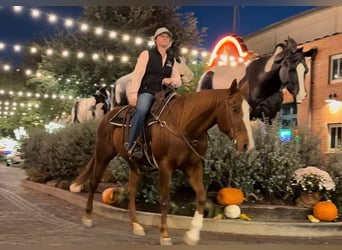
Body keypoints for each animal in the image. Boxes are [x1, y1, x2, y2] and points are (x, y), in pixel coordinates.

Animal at [69, 79, 254, 244]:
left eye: (249, 110)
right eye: (234, 108)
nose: (246, 144)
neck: (184, 124)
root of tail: (108, 114)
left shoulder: (193, 167)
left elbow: (201, 196)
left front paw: (192, 235)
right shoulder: (165, 166)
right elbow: (165, 200)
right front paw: (165, 235)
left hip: (133, 164)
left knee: (131, 190)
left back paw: (136, 225)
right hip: (103, 154)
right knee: (94, 181)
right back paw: (87, 217)